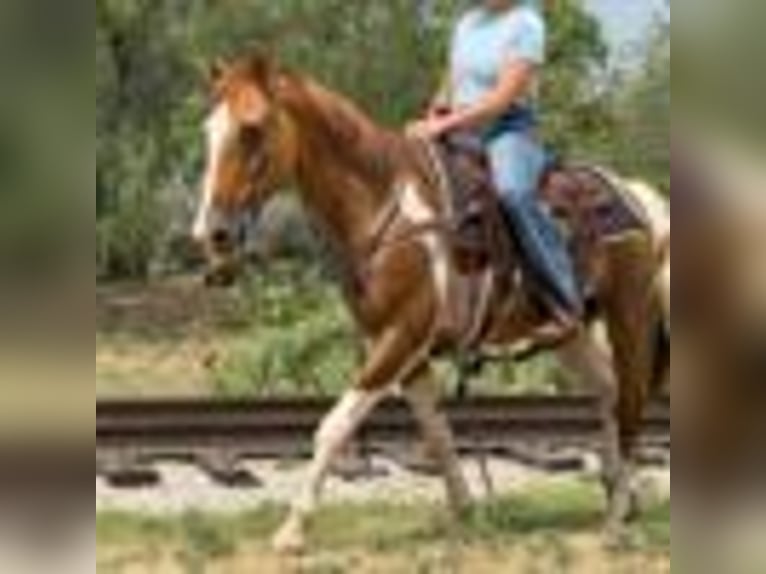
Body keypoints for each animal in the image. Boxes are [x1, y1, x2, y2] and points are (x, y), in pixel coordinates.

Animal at [191, 51, 667, 552]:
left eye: (252, 128)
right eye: (208, 129)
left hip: (630, 317)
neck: (389, 210)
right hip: (570, 333)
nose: (211, 232)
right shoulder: (406, 349)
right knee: (608, 392)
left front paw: (292, 529)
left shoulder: (400, 336)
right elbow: (437, 432)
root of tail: (636, 195)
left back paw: (615, 521)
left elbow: (334, 426)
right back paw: (622, 496)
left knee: (631, 402)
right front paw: (465, 511)